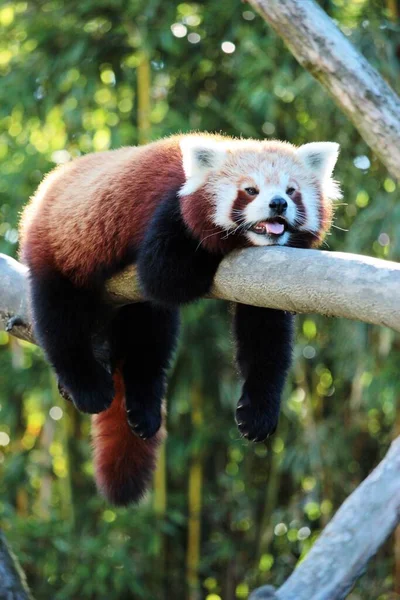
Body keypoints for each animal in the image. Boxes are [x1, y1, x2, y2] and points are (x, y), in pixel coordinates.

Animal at [19, 134, 340, 504]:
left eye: (291, 191)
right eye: (250, 190)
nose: (278, 205)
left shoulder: (268, 281)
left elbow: (265, 339)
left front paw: (258, 413)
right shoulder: (168, 214)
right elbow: (165, 274)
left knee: (150, 342)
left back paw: (144, 407)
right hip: (57, 249)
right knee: (60, 320)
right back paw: (86, 385)